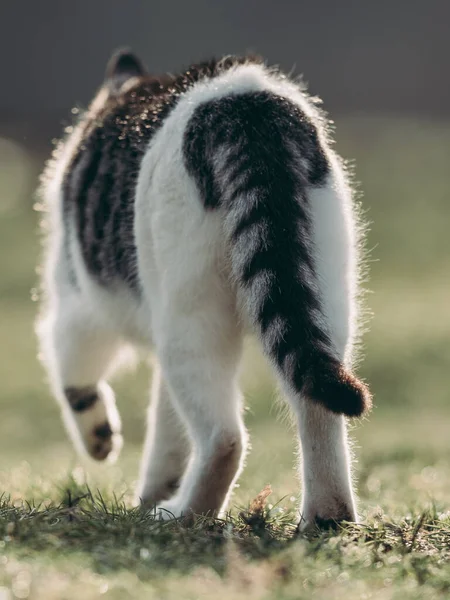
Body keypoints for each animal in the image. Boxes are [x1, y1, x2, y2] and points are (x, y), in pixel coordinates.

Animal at [36, 49, 372, 528]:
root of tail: (245, 106)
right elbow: (166, 426)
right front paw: (155, 487)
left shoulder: (78, 298)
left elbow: (72, 373)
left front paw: (101, 441)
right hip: (324, 294)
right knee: (316, 404)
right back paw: (327, 517)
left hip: (192, 316)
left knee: (224, 438)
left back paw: (183, 516)